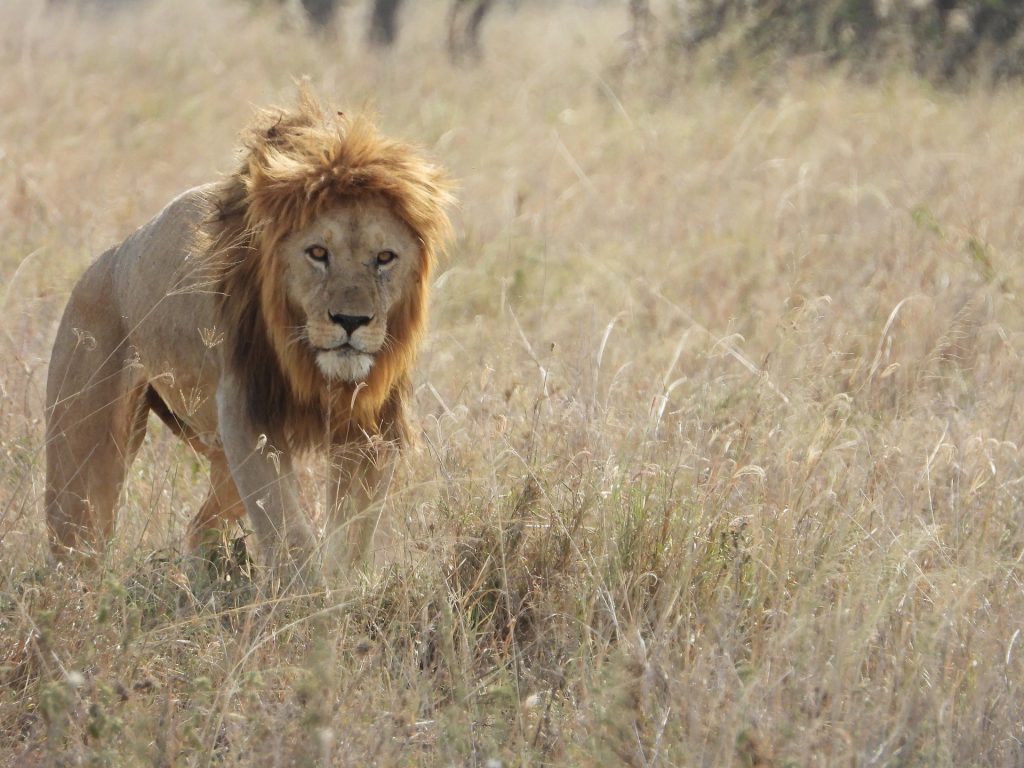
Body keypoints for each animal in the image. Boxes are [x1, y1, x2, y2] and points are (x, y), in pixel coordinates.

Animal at [44, 88, 454, 584]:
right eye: (318, 253)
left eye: (384, 258)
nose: (351, 320)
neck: (313, 367)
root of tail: (108, 258)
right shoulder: (247, 413)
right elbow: (286, 528)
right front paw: (304, 596)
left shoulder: (371, 430)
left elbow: (353, 533)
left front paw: (342, 590)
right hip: (85, 453)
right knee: (79, 540)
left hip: (220, 459)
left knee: (198, 527)